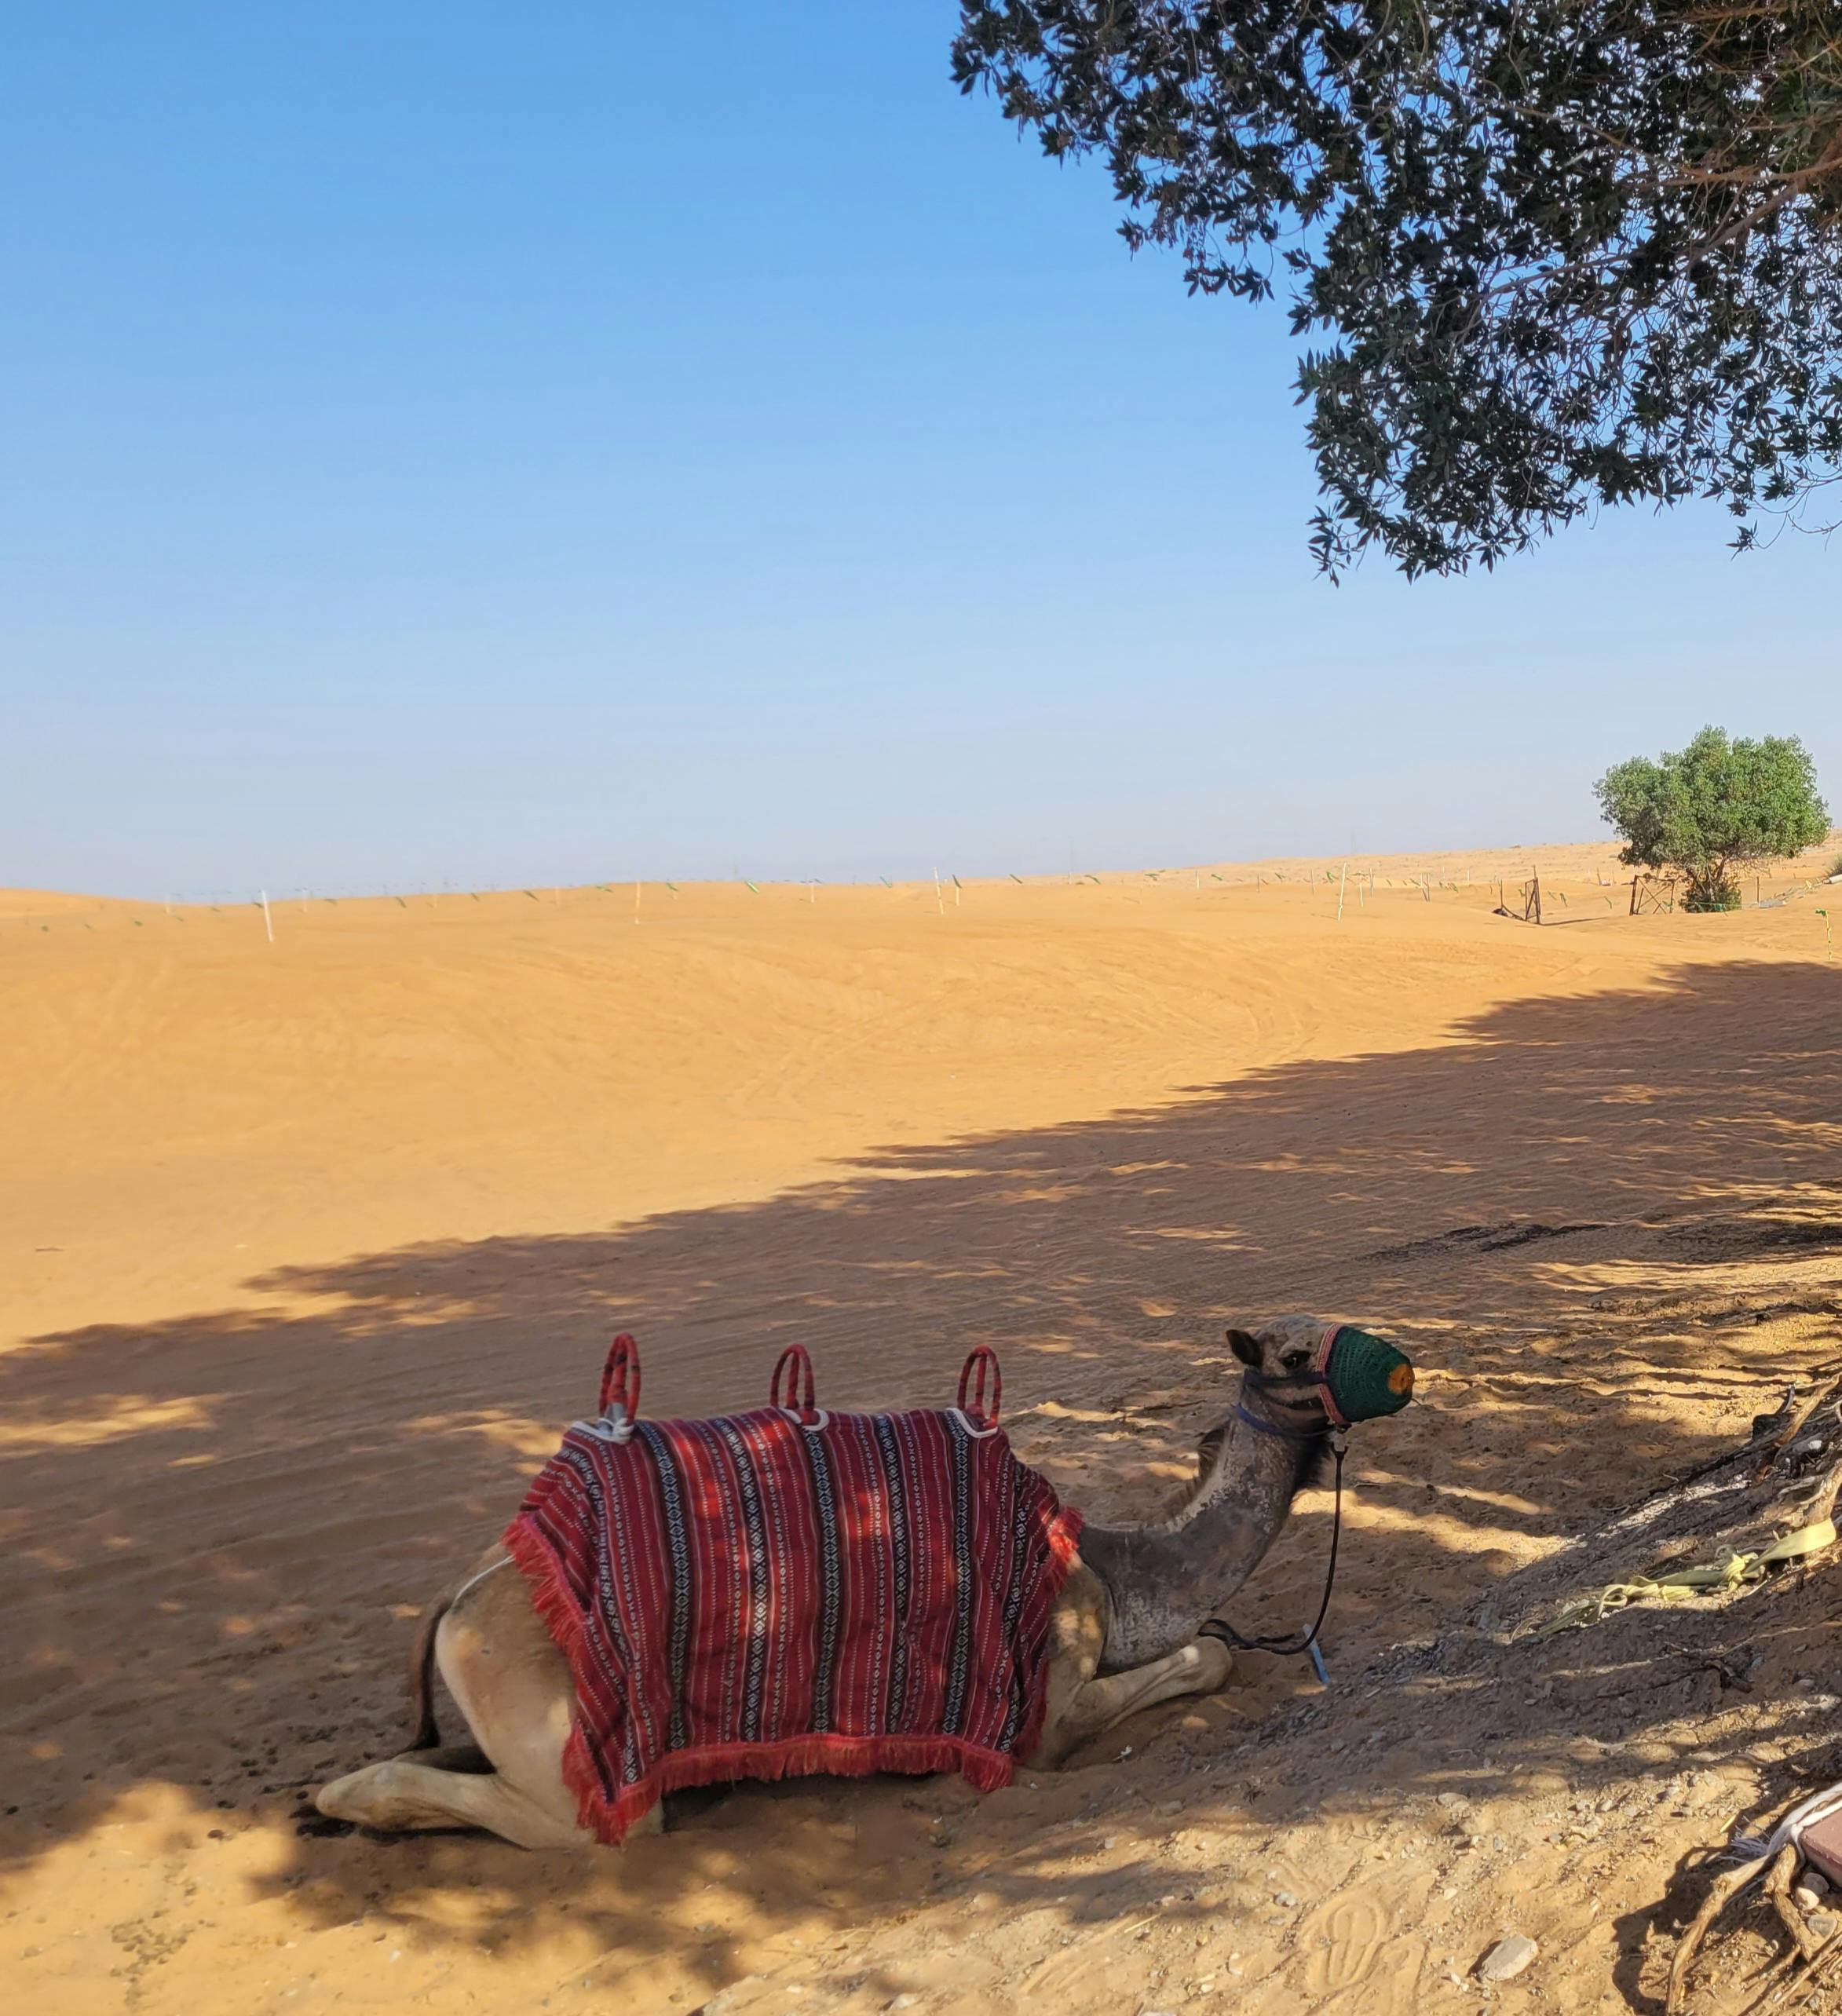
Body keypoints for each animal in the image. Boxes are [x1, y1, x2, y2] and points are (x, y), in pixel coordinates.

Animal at [317, 1314, 1412, 1847]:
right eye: (1298, 1351)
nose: (1400, 1367)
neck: (1113, 1567)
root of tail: (464, 1596)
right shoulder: (1040, 1704)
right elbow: (1206, 1660)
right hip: (561, 1738)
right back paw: (348, 1805)